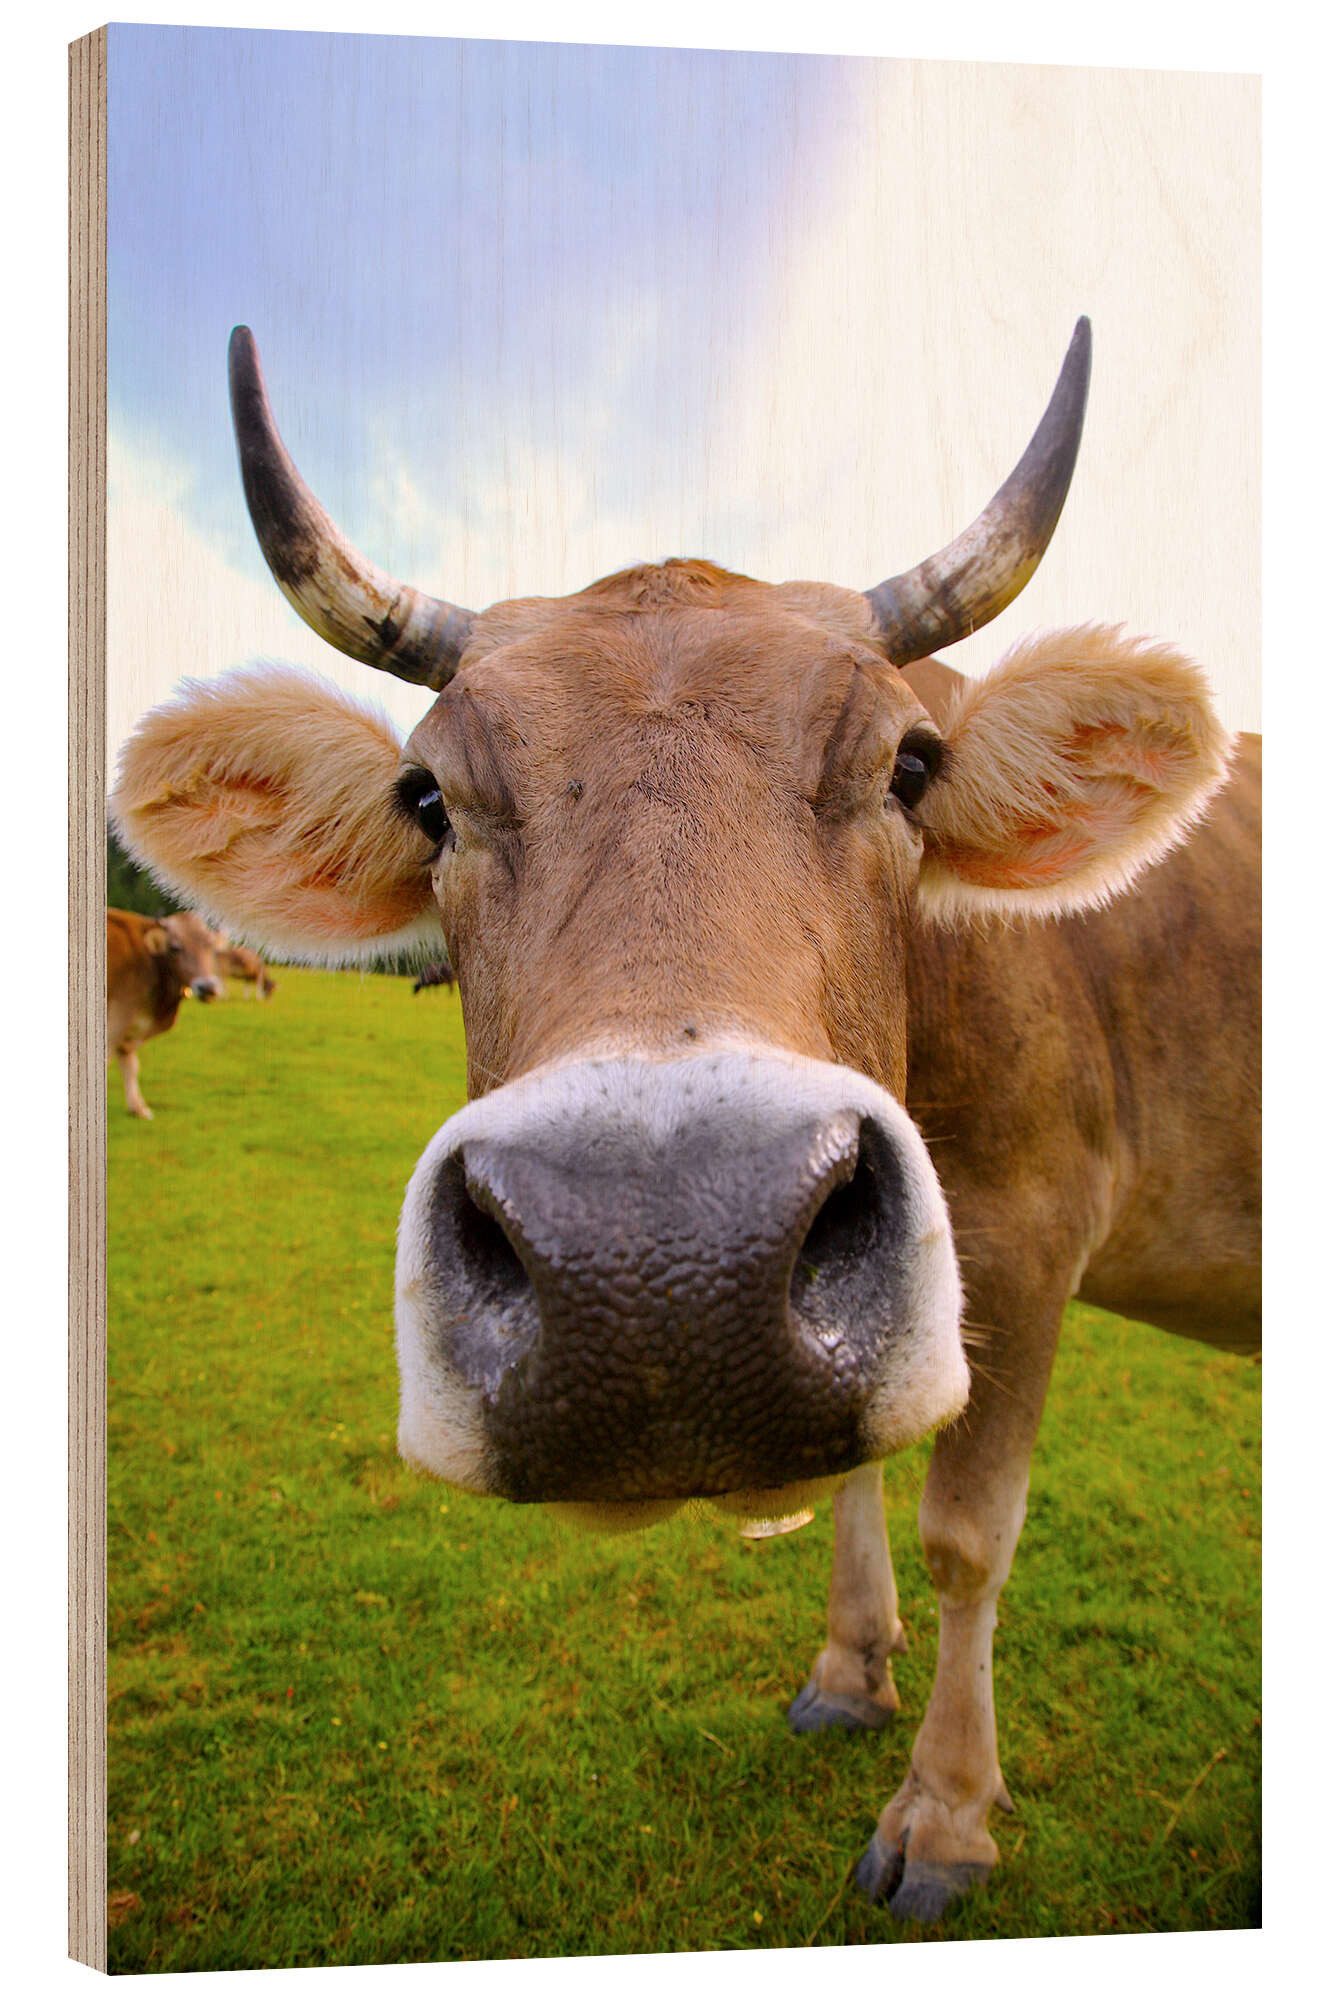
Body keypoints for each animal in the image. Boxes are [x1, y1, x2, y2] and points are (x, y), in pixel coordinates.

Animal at [106, 907, 225, 1119]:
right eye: (175, 948)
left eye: (211, 947)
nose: (208, 988)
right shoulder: (117, 1018)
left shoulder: (131, 1030)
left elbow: (131, 1065)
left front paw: (138, 1108)